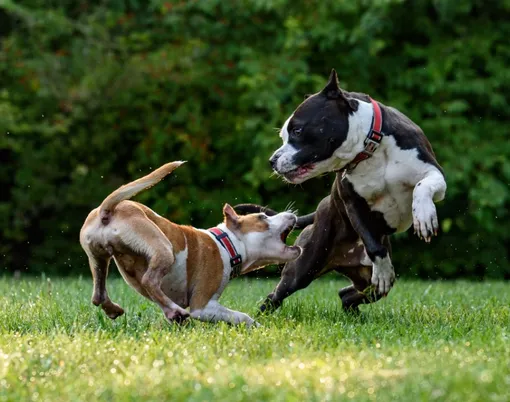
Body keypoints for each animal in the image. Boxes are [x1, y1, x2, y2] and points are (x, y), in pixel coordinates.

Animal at [80, 161, 300, 326]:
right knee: (149, 280)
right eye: (263, 217)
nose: (292, 214)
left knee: (98, 295)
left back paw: (120, 309)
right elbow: (241, 316)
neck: (227, 244)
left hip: (98, 257)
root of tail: (107, 210)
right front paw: (257, 327)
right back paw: (174, 310)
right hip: (163, 247)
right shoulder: (203, 306)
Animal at [236, 70, 446, 312]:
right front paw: (384, 270)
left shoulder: (434, 173)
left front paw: (424, 216)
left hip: (365, 281)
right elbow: (373, 245)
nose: (272, 160)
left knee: (348, 294)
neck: (370, 149)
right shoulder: (352, 202)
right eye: (283, 136)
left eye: (297, 130)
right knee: (277, 294)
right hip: (304, 267)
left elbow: (423, 186)